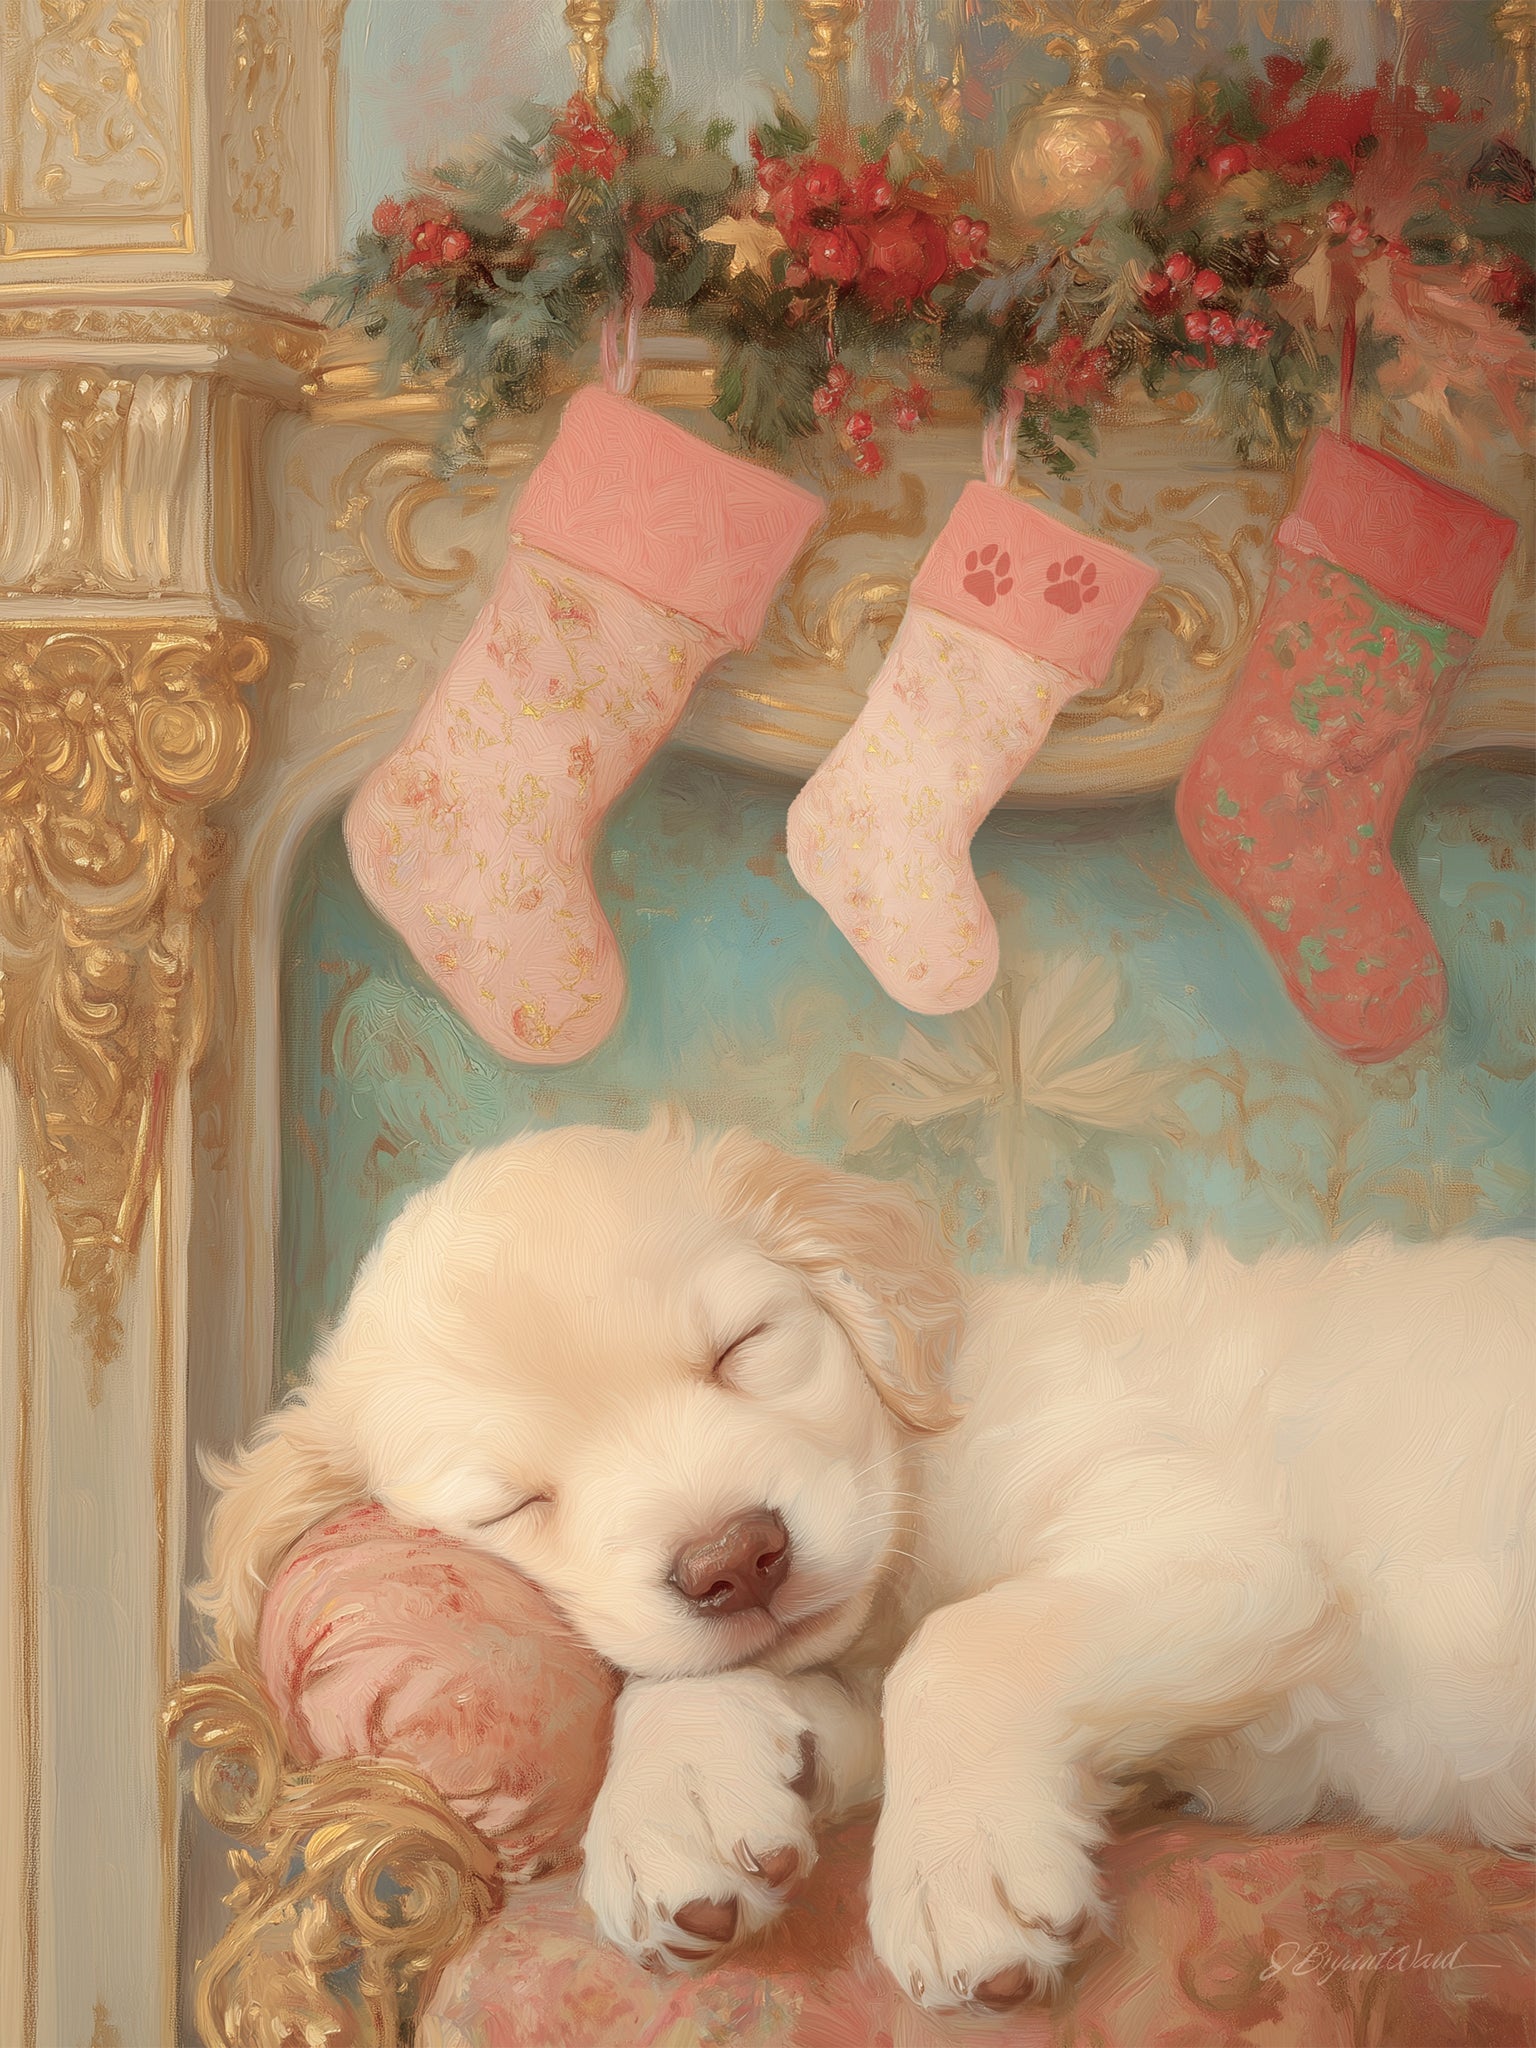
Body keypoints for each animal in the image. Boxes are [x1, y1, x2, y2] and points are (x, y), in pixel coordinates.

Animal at [204, 1114, 1536, 2007]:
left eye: (742, 1346)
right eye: (515, 1501)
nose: (736, 1559)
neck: (912, 1485)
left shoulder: (1218, 1545)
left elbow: (967, 1640)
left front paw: (957, 1875)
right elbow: (708, 1679)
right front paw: (678, 1806)